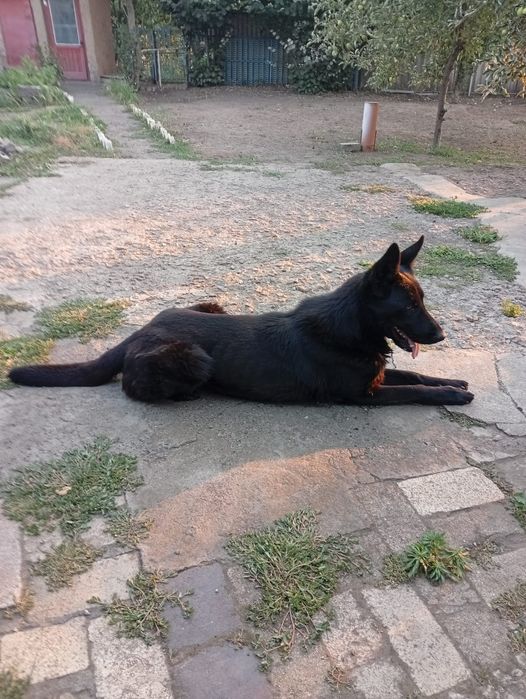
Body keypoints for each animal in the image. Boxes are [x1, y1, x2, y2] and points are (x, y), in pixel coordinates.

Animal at [9, 236, 474, 406]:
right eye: (408, 307)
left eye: (422, 301)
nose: (442, 334)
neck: (350, 327)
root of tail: (139, 331)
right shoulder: (363, 396)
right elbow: (414, 389)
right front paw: (452, 395)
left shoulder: (376, 376)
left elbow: (416, 376)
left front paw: (453, 381)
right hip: (195, 357)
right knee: (133, 388)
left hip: (212, 304)